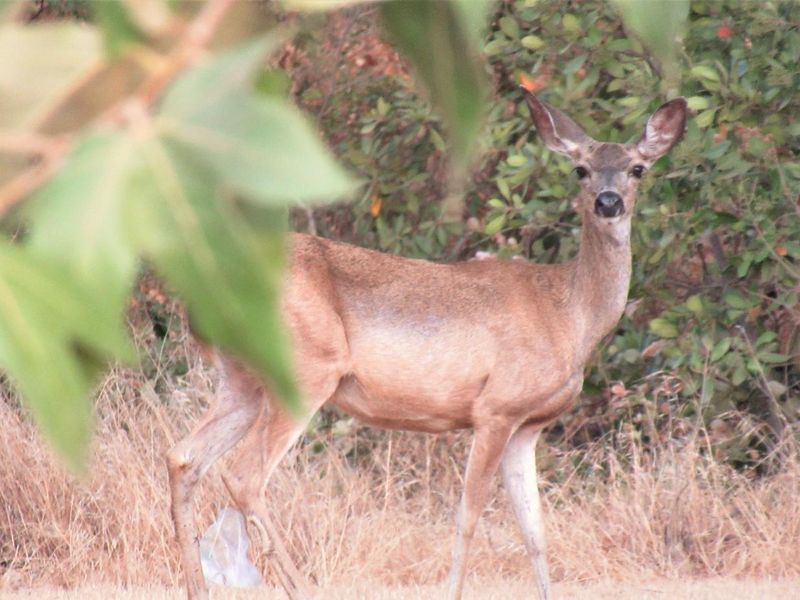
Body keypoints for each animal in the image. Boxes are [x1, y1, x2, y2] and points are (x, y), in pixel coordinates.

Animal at [166, 90, 687, 600]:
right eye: (580, 169)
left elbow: (535, 532)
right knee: (243, 476)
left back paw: (197, 588)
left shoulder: (528, 425)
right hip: (307, 368)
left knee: (184, 457)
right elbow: (468, 518)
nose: (607, 202)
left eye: (637, 168)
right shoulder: (495, 408)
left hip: (242, 381)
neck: (567, 314)